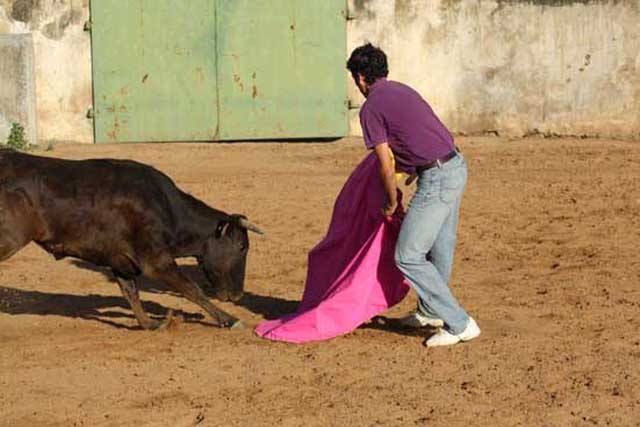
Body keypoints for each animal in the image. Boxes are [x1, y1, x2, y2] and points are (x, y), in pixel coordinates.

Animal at [0, 150, 262, 332]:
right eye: (242, 247)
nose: (238, 296)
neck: (166, 208)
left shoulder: (121, 262)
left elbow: (131, 293)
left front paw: (152, 324)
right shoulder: (156, 260)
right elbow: (191, 288)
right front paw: (232, 320)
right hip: (9, 240)